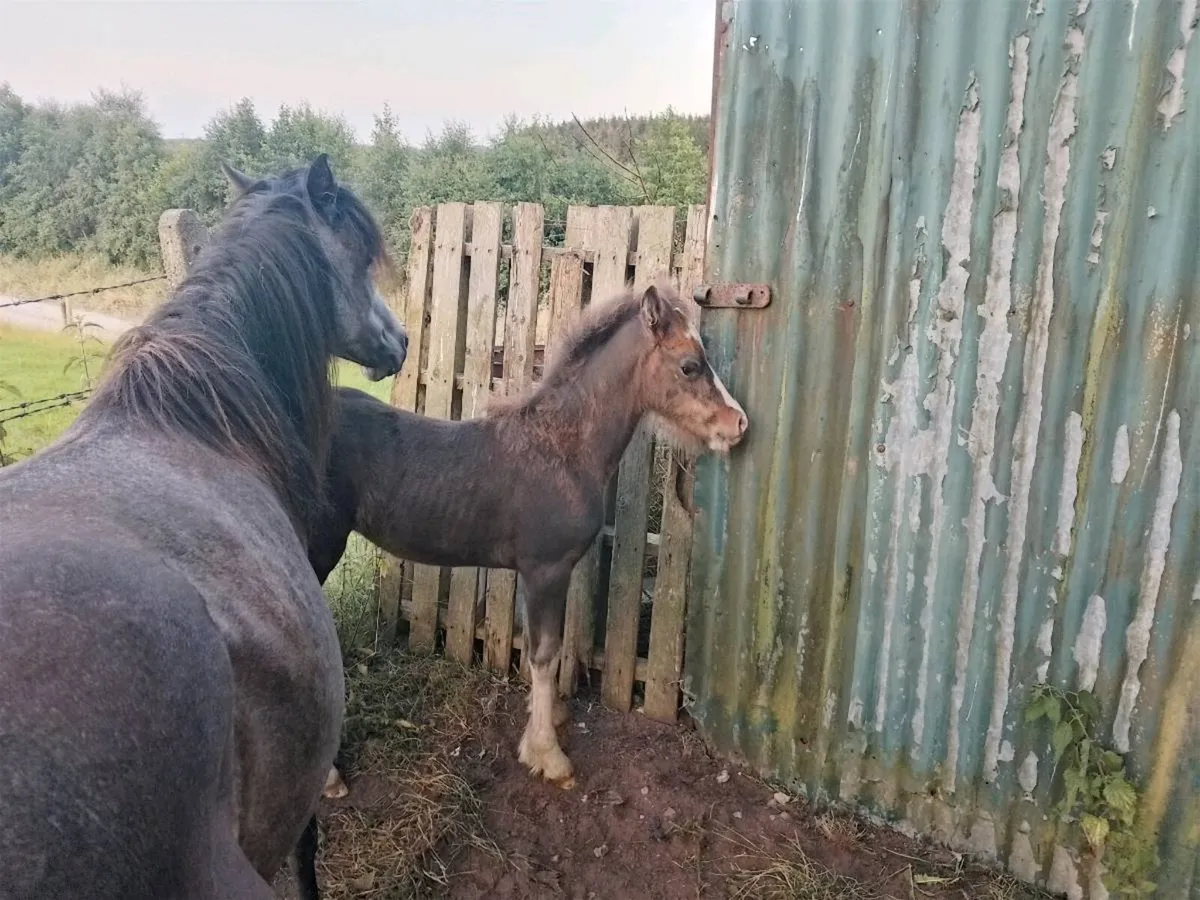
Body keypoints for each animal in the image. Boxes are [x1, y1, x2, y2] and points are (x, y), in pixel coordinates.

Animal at [308, 282, 747, 801]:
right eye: (689, 366)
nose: (738, 424)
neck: (562, 447)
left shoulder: (534, 574)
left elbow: (539, 648)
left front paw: (550, 718)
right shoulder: (546, 570)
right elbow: (543, 653)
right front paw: (548, 754)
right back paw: (328, 777)